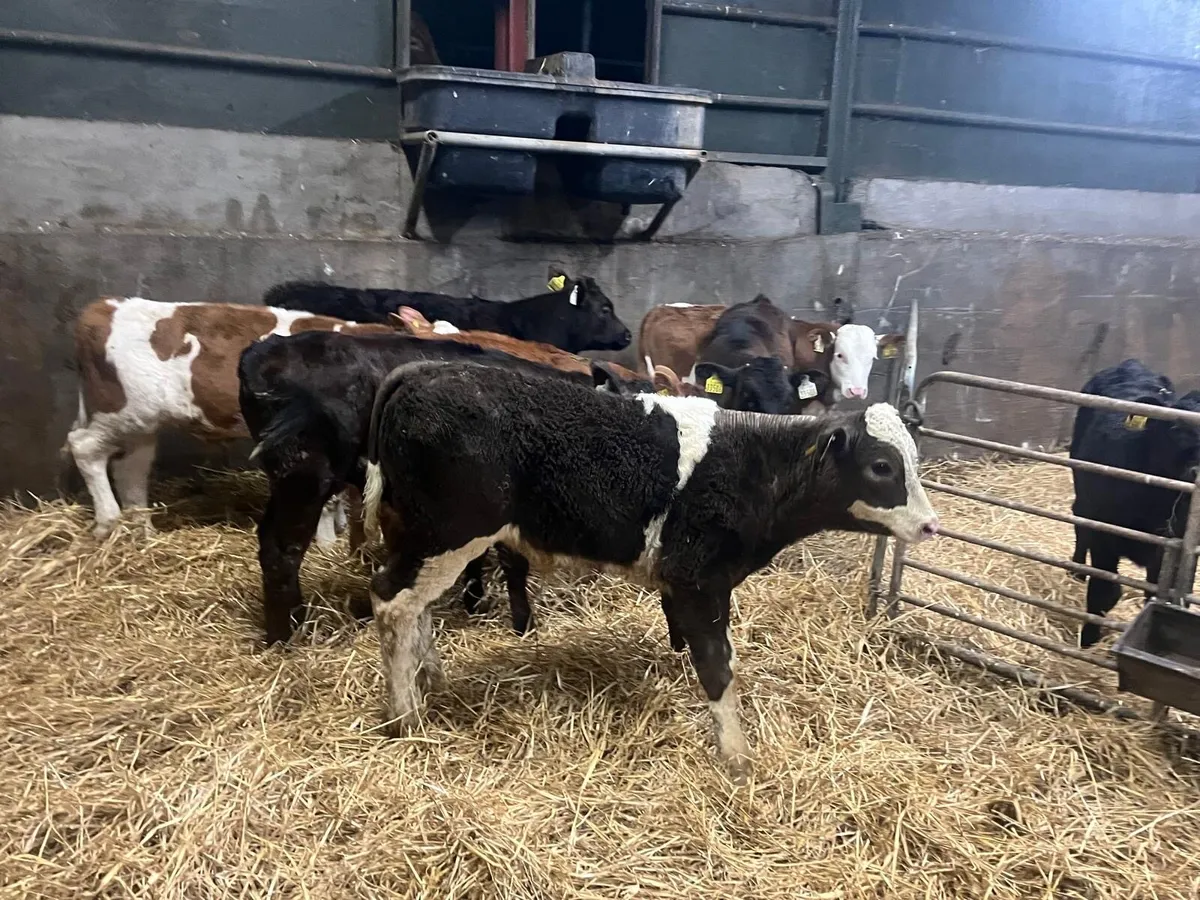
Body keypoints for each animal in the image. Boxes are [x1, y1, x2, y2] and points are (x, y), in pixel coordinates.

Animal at [63, 296, 398, 540]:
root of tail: (104, 306)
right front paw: (327, 545)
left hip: (141, 424)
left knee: (130, 468)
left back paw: (143, 532)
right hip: (122, 410)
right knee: (84, 447)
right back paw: (107, 522)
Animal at [239, 331, 643, 645]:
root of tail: (264, 351)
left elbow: (476, 556)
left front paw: (475, 602)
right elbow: (513, 565)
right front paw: (523, 625)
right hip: (304, 477)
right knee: (283, 549)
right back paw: (287, 635)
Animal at [360, 359, 940, 782]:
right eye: (882, 466)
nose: (931, 525)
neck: (753, 466)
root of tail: (421, 370)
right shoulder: (697, 581)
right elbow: (717, 668)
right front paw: (736, 758)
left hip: (425, 538)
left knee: (415, 608)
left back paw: (431, 680)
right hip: (446, 534)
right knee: (391, 601)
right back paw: (405, 716)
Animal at [1069, 359, 1200, 648]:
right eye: (1176, 428)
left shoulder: (1168, 554)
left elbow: (1156, 596)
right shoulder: (1104, 536)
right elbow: (1103, 592)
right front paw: (1088, 641)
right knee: (1078, 519)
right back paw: (1077, 570)